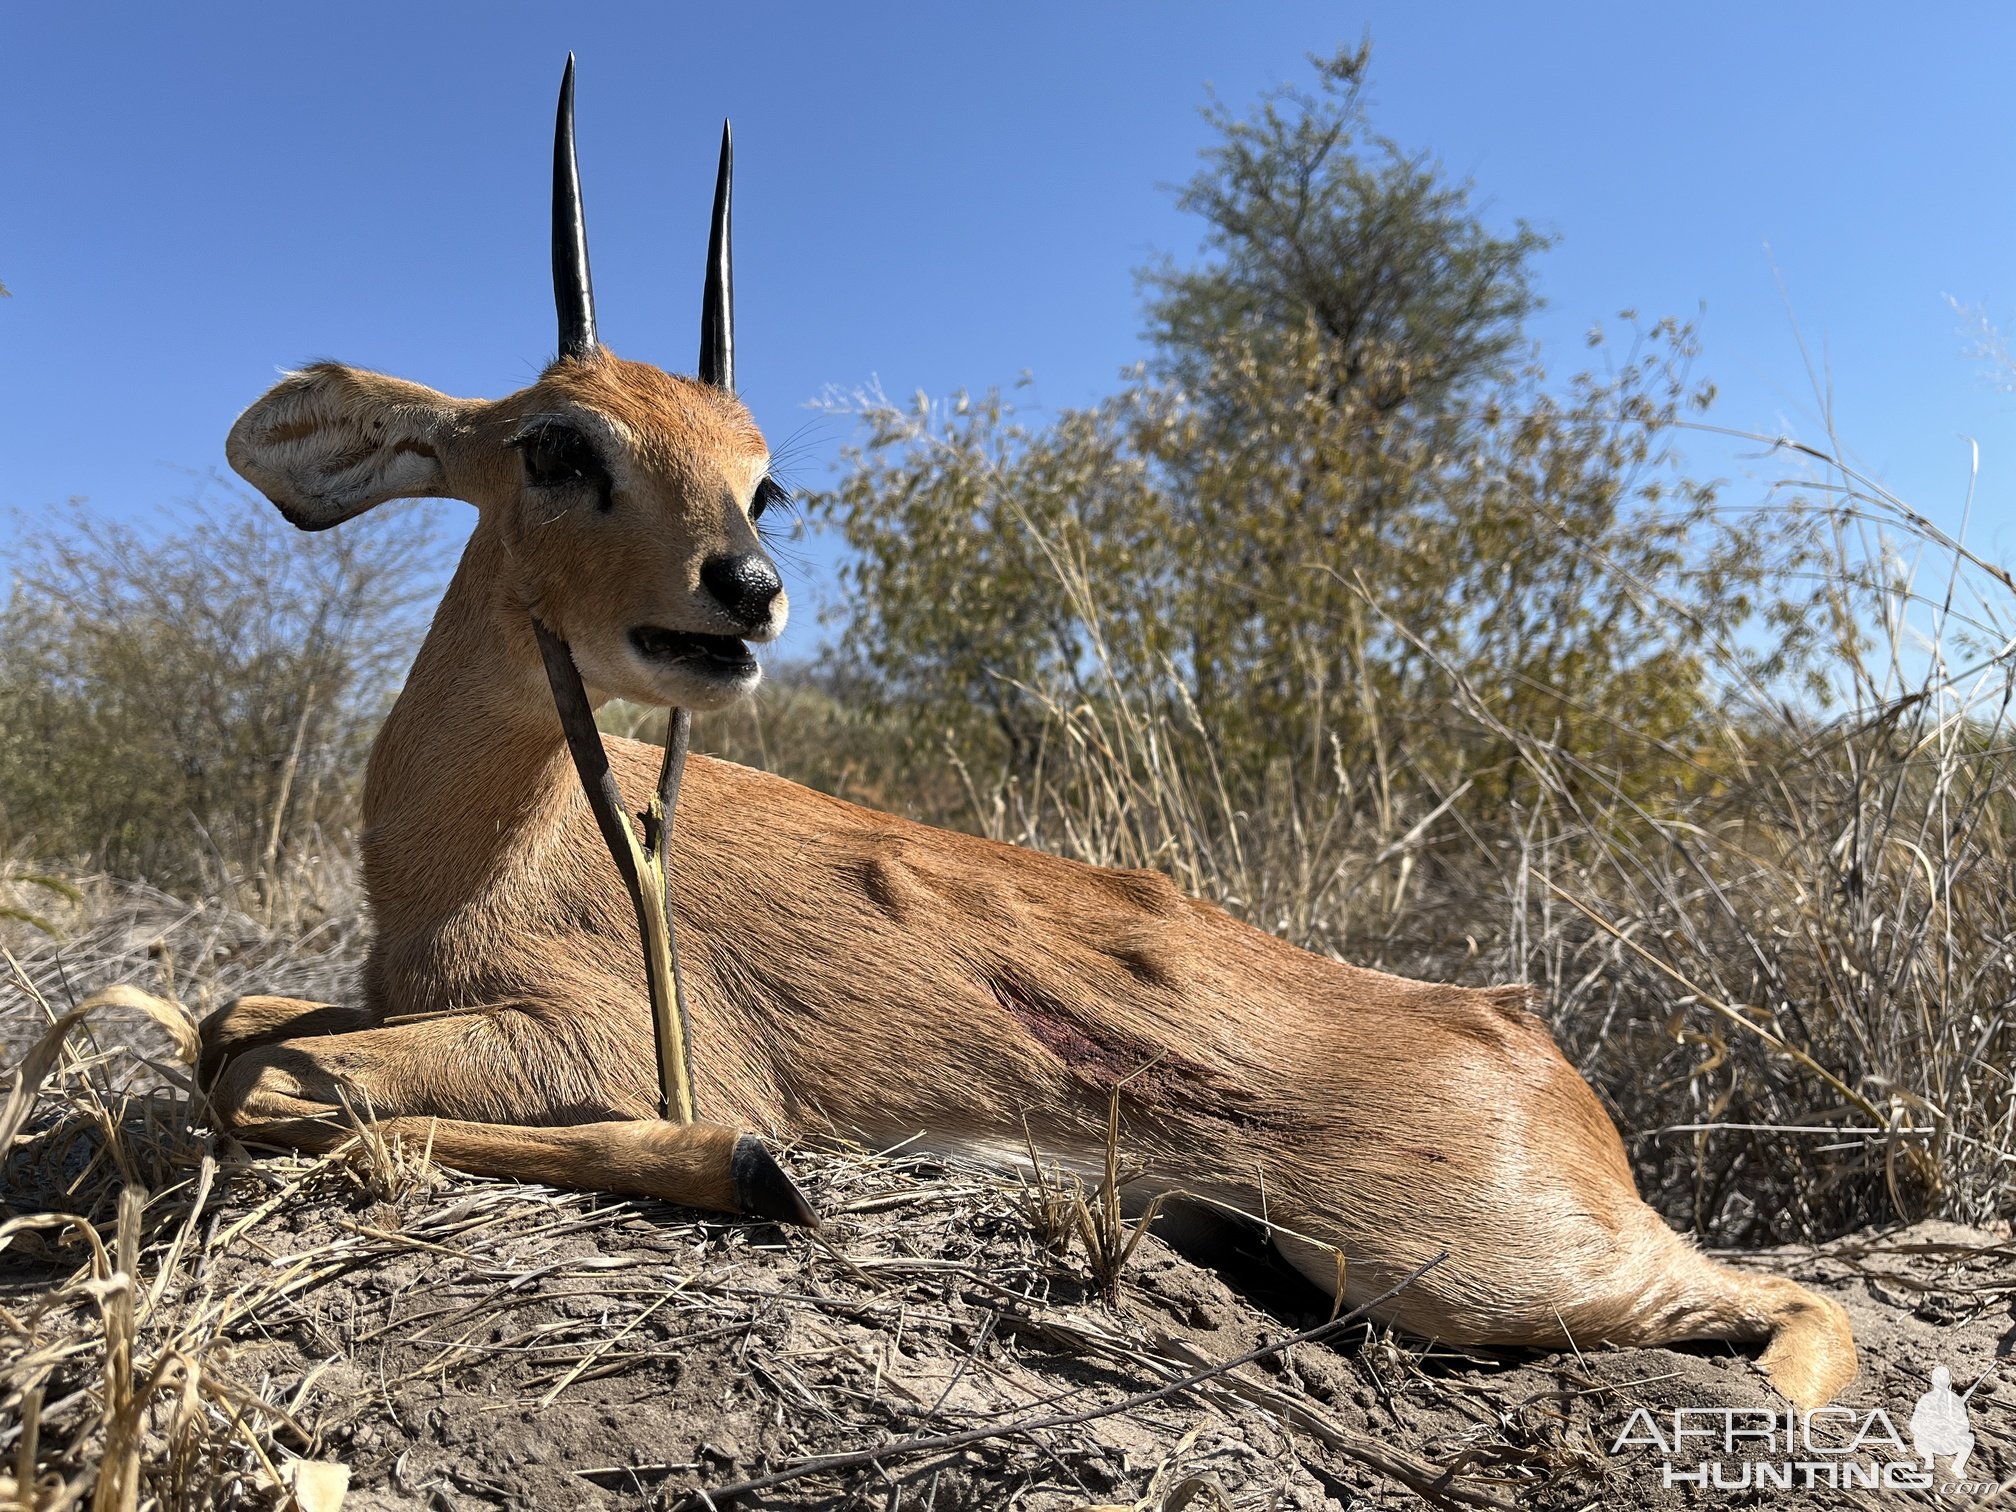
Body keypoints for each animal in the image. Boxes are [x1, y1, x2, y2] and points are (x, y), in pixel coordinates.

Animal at [204, 56, 1854, 1411]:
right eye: (555, 444)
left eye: (761, 474)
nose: (747, 590)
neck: (483, 855)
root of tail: (1517, 1028)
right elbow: (233, 1028)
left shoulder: (588, 1041)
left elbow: (275, 1082)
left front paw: (757, 1171)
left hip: (1476, 1273)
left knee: (1790, 1293)